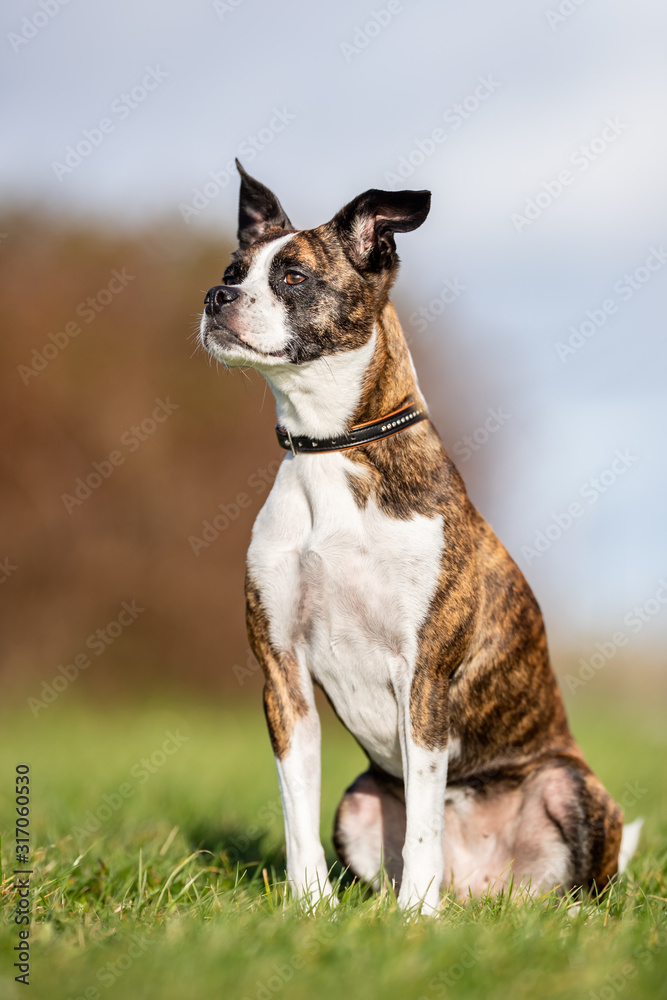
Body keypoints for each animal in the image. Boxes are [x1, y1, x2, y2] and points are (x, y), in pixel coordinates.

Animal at [201, 160, 640, 912]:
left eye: (293, 276)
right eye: (234, 269)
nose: (214, 295)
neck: (331, 450)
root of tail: (483, 889)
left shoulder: (424, 675)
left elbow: (424, 821)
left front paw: (414, 916)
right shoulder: (282, 675)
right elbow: (296, 811)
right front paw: (311, 908)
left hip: (568, 786)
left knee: (582, 888)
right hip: (356, 801)